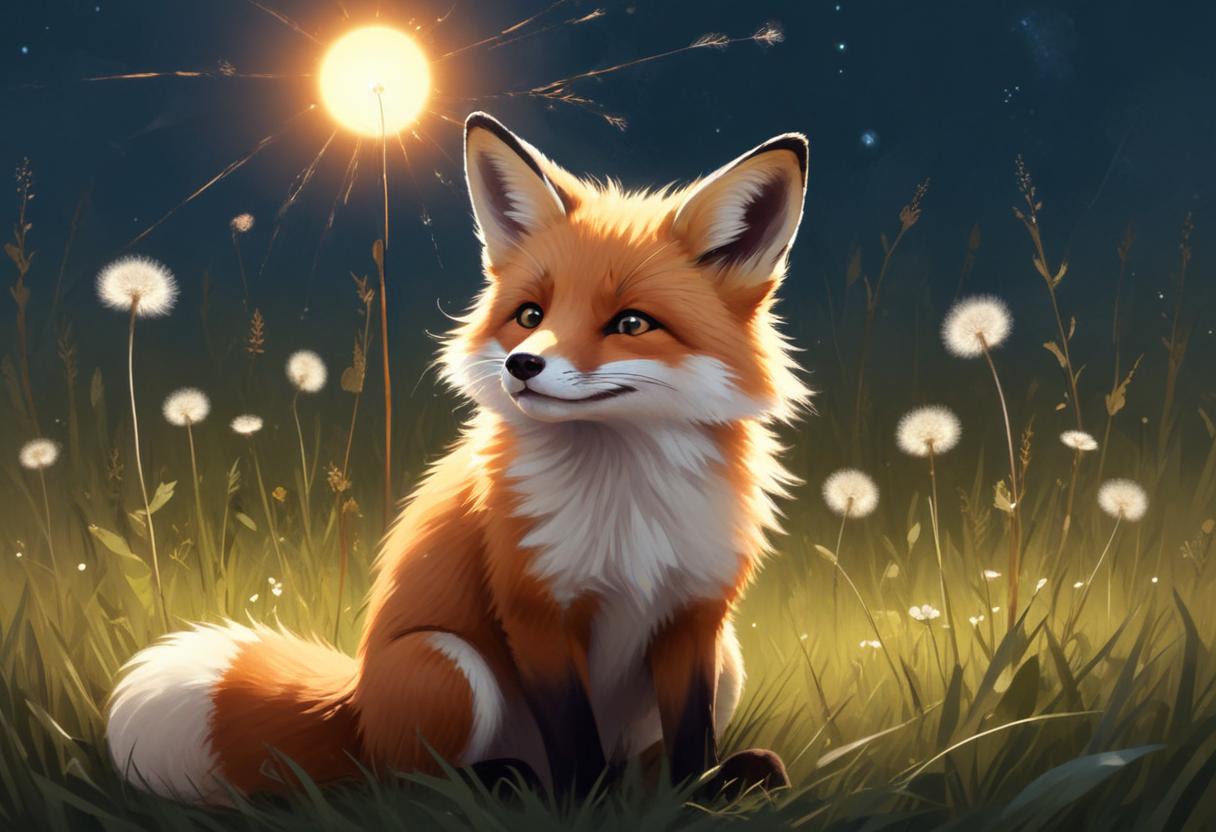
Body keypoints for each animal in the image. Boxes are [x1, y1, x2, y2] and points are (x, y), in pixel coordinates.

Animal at [106, 112, 811, 804]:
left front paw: (694, 797)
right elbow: (572, 735)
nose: (521, 365)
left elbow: (690, 736)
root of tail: (354, 702)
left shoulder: (695, 615)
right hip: (446, 665)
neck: (623, 504)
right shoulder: (534, 609)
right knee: (405, 778)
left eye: (632, 324)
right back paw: (511, 783)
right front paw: (581, 804)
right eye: (530, 315)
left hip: (729, 659)